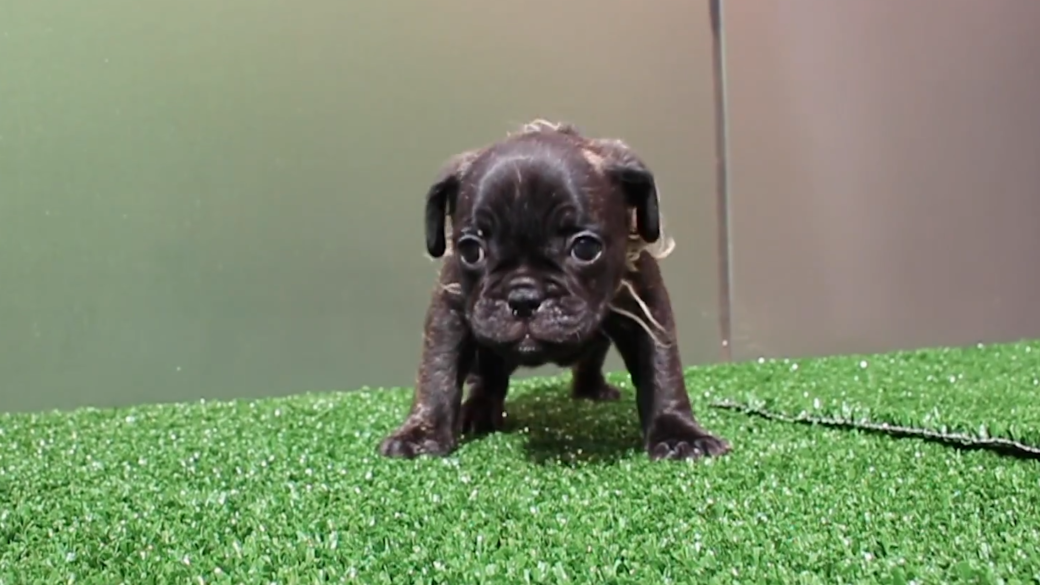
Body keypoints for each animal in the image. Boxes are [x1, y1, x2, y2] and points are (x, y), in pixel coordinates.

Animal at [378, 119, 728, 460]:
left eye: (585, 248)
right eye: (470, 250)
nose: (524, 298)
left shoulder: (646, 308)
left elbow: (662, 372)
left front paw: (680, 434)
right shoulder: (448, 313)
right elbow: (437, 372)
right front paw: (420, 434)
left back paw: (591, 390)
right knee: (488, 374)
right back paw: (479, 410)